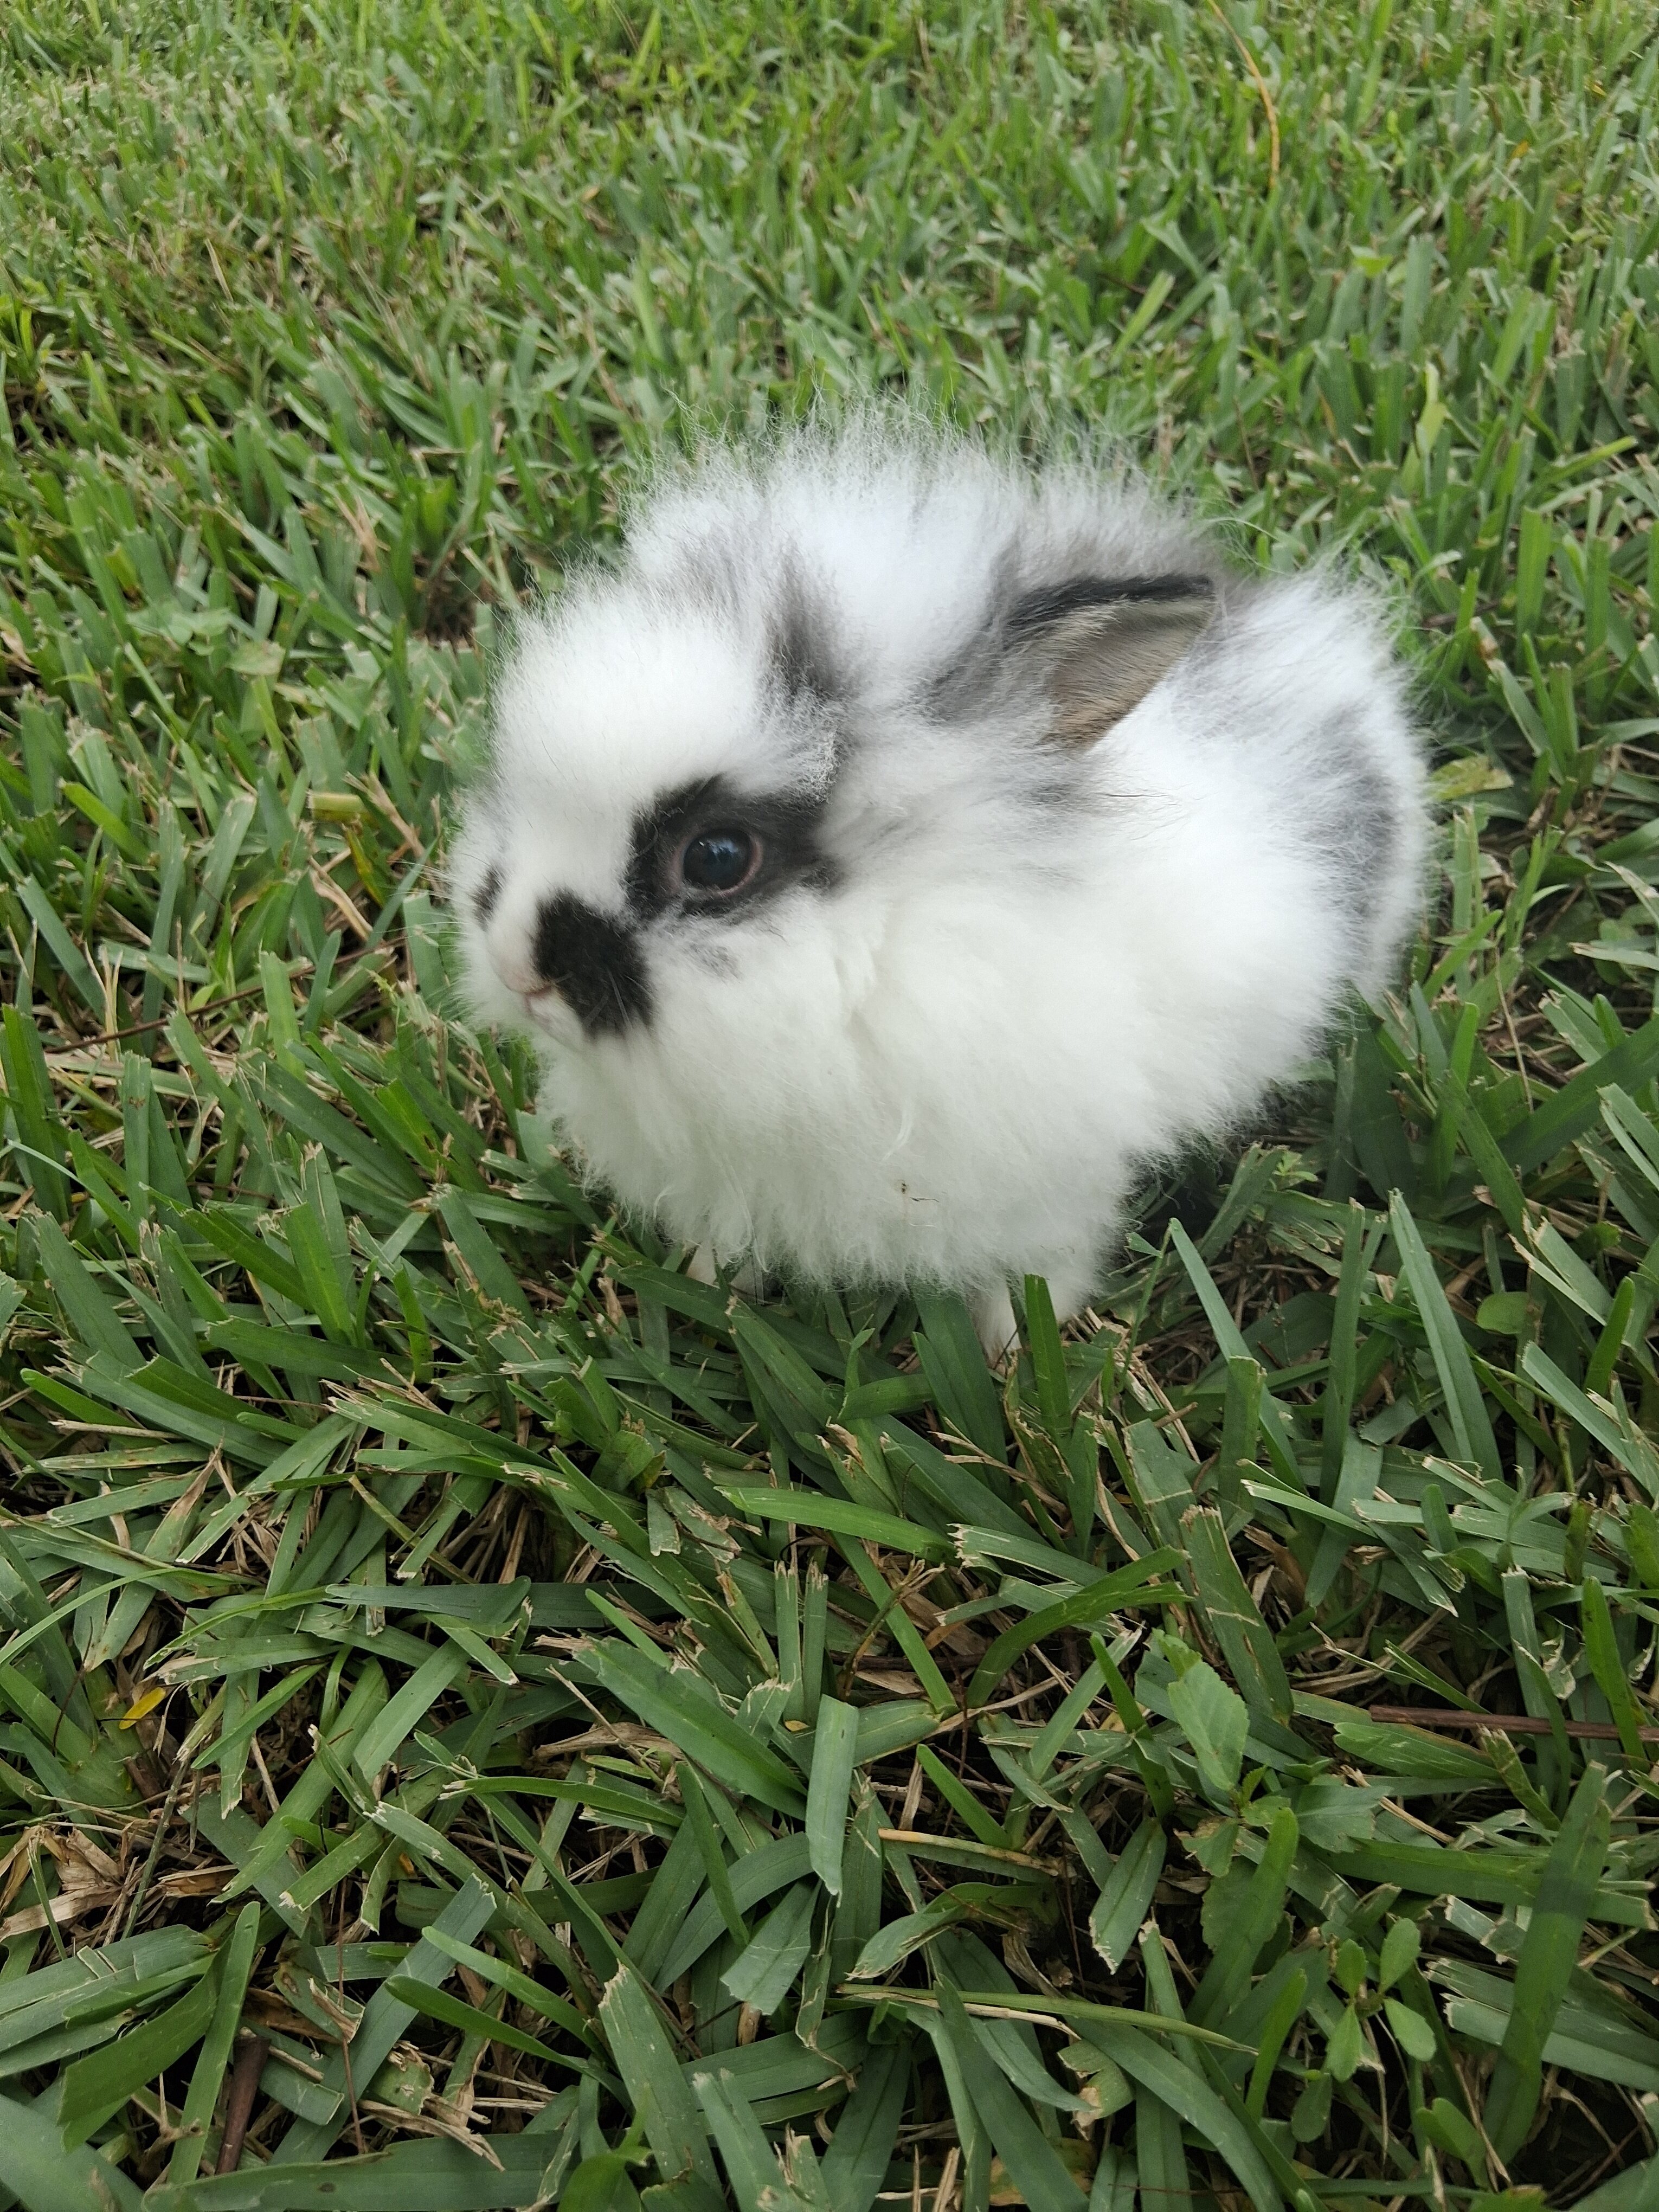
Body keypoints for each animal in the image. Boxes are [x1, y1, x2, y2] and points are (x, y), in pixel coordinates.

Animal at [449, 416, 1427, 1356]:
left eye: (718, 858)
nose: (517, 968)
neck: (878, 953)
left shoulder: (1050, 1179)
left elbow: (1035, 1270)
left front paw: (1014, 1351)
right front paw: (704, 1288)